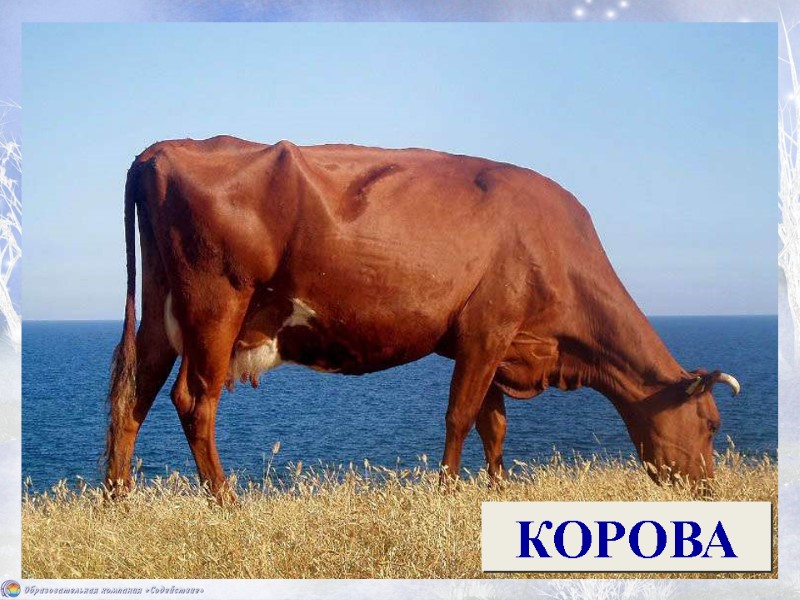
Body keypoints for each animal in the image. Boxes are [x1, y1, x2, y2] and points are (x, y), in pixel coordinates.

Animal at [105, 135, 740, 500]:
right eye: (711, 424)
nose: (711, 488)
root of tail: (161, 149)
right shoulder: (489, 327)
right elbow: (460, 416)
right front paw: (446, 490)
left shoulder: (495, 343)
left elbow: (493, 423)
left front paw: (498, 489)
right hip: (215, 302)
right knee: (194, 400)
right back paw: (226, 501)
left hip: (163, 308)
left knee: (133, 392)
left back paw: (118, 500)